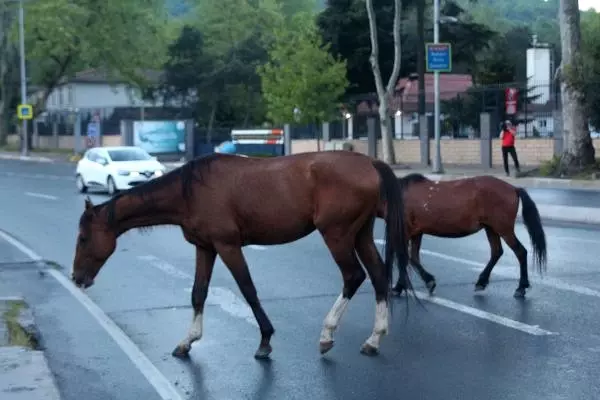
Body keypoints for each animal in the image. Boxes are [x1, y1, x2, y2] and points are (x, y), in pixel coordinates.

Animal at [70, 152, 414, 360]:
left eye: (84, 238)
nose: (77, 278)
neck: (189, 191)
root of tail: (370, 163)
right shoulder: (205, 248)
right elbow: (198, 293)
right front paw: (188, 340)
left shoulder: (228, 246)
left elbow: (248, 289)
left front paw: (265, 340)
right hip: (361, 234)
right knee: (378, 275)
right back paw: (374, 338)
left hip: (337, 235)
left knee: (353, 276)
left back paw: (327, 334)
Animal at [382, 173, 548, 298]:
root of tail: (514, 188)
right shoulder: (416, 233)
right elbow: (413, 258)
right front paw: (424, 282)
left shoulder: (405, 232)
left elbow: (404, 258)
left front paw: (399, 287)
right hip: (491, 228)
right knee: (496, 252)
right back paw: (482, 281)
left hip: (503, 228)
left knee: (520, 252)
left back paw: (521, 287)